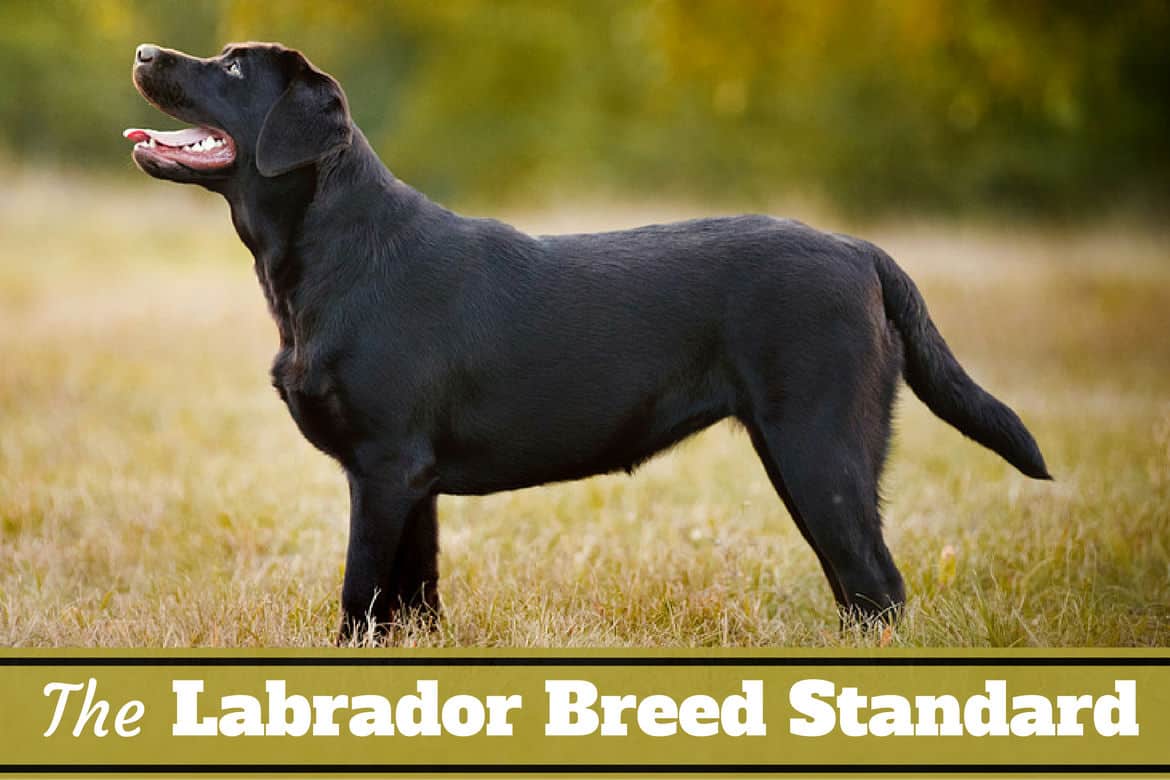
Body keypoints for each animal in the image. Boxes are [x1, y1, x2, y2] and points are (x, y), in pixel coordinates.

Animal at [125, 42, 1053, 640]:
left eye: (233, 68)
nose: (142, 51)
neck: (331, 253)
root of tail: (863, 252)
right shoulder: (413, 483)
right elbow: (412, 603)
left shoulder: (383, 469)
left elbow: (359, 600)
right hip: (809, 460)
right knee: (861, 592)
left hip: (820, 451)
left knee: (877, 586)